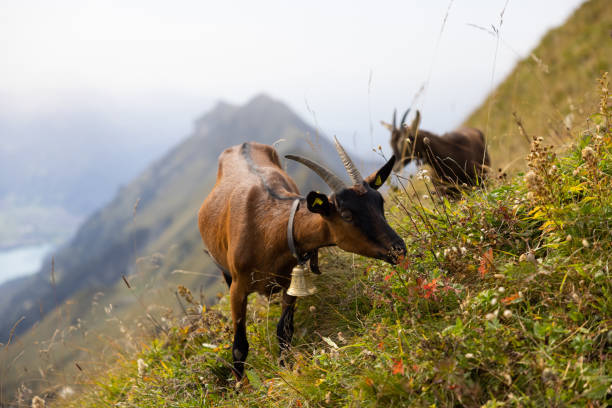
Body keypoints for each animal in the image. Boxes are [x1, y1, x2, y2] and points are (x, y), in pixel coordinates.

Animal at [198, 139, 404, 380]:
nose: (399, 249)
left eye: (379, 202)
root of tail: (244, 144)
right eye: (346, 215)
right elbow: (240, 346)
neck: (269, 228)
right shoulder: (238, 289)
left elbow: (284, 331)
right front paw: (240, 385)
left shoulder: (292, 283)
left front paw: (284, 371)